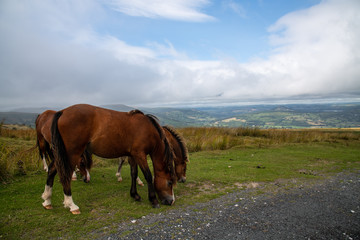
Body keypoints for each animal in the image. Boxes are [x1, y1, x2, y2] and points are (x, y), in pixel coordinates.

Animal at [44, 104, 176, 215]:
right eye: (170, 182)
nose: (171, 201)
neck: (147, 129)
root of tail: (62, 112)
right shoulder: (140, 155)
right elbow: (148, 176)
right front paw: (153, 200)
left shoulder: (133, 155)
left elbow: (134, 174)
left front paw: (135, 195)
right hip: (71, 154)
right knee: (65, 175)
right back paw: (71, 205)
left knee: (52, 170)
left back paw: (47, 200)